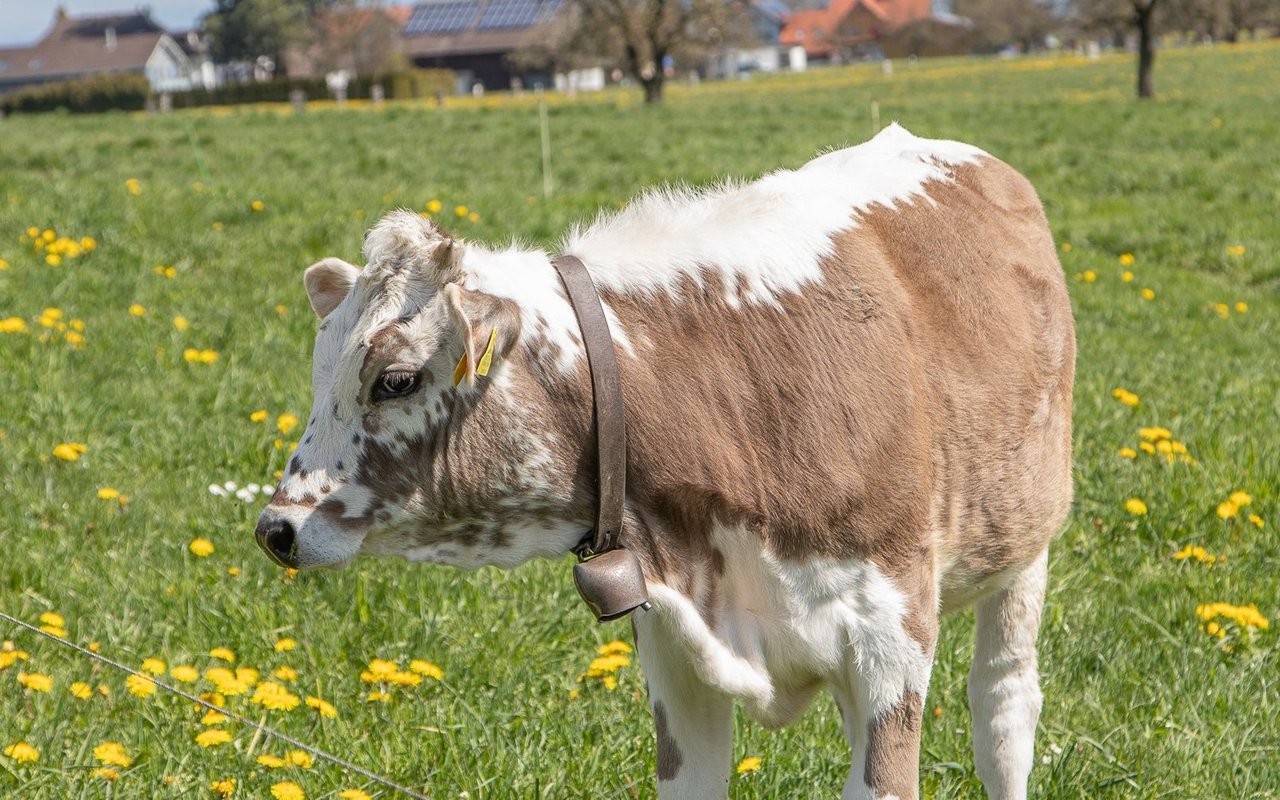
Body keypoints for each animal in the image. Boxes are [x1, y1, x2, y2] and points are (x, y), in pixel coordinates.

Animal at [257, 124, 1070, 798]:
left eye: (393, 380)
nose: (277, 528)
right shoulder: (677, 653)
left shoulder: (891, 644)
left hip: (1026, 546)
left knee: (1003, 710)